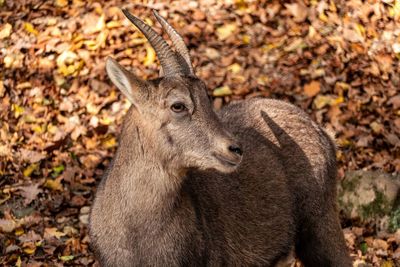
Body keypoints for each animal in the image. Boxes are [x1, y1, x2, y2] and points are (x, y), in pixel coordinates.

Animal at [89, 8, 352, 267]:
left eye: (206, 98)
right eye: (178, 105)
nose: (235, 149)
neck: (136, 232)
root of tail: (324, 134)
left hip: (321, 225)